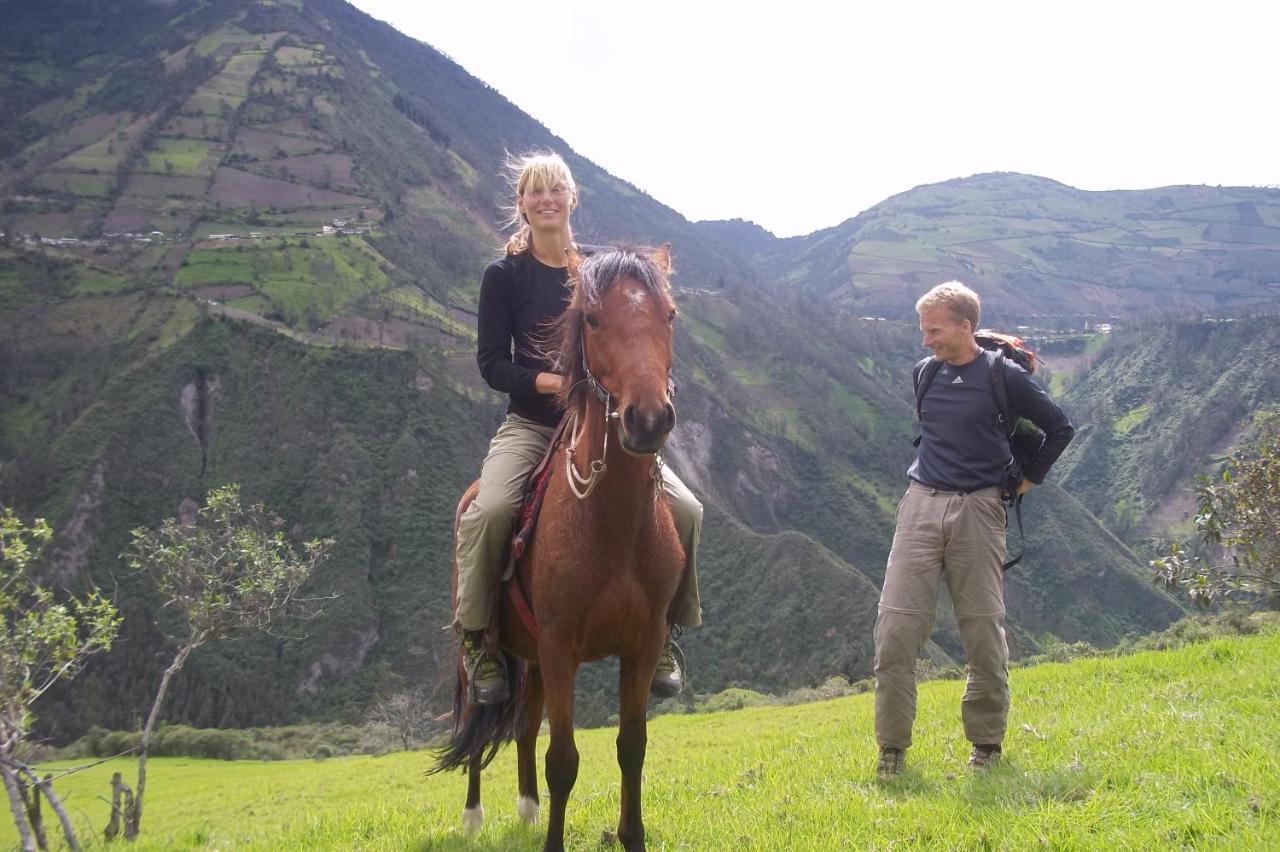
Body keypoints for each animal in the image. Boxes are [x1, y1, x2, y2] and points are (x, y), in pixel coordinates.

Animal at [432, 244, 686, 849]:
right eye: (592, 319)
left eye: (669, 316)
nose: (647, 419)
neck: (613, 524)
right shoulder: (560, 642)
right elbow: (564, 760)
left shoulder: (641, 644)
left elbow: (631, 748)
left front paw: (632, 836)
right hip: (489, 649)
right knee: (478, 718)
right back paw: (474, 816)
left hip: (534, 658)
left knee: (524, 725)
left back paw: (527, 809)